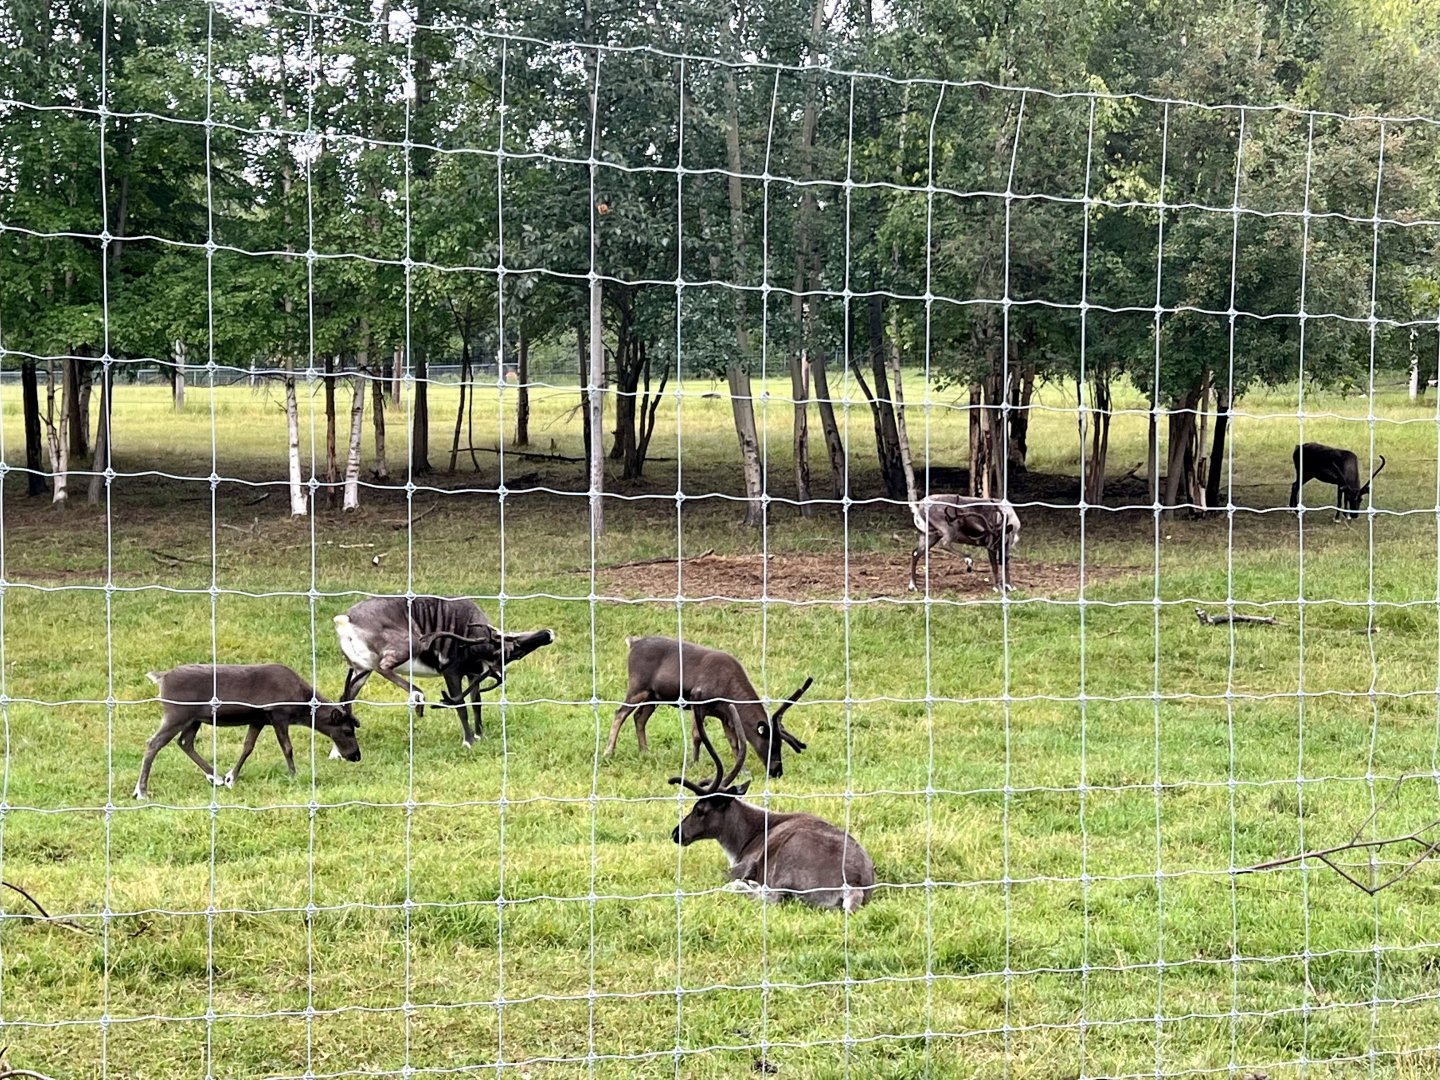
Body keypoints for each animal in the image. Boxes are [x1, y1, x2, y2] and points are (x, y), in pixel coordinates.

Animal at [134, 663, 360, 799]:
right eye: (347, 730)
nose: (356, 756)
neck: (301, 703)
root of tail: (161, 678)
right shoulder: (278, 714)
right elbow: (287, 747)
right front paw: (293, 775)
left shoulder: (258, 720)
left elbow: (248, 747)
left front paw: (230, 778)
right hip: (177, 714)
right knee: (154, 743)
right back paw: (141, 791)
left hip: (193, 719)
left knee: (184, 742)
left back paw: (215, 777)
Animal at [333, 596, 555, 748]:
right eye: (511, 646)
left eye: (516, 656)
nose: (548, 634)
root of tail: (345, 620)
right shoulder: (452, 671)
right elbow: (460, 705)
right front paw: (468, 741)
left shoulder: (473, 674)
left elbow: (477, 703)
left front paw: (480, 735)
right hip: (408, 645)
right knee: (383, 666)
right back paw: (418, 696)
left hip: (360, 668)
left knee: (345, 697)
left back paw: (339, 752)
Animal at [605, 635, 811, 780]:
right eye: (772, 744)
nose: (777, 771)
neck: (728, 692)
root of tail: (633, 643)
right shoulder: (697, 700)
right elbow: (697, 736)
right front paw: (694, 763)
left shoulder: (726, 716)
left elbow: (735, 742)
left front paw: (743, 770)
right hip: (637, 686)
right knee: (620, 713)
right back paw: (609, 752)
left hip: (653, 696)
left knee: (639, 717)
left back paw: (645, 752)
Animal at [670, 721, 876, 912]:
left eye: (700, 809)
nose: (676, 833)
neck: (741, 841)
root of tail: (854, 887)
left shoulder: (746, 863)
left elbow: (724, 875)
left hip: (788, 859)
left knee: (772, 897)